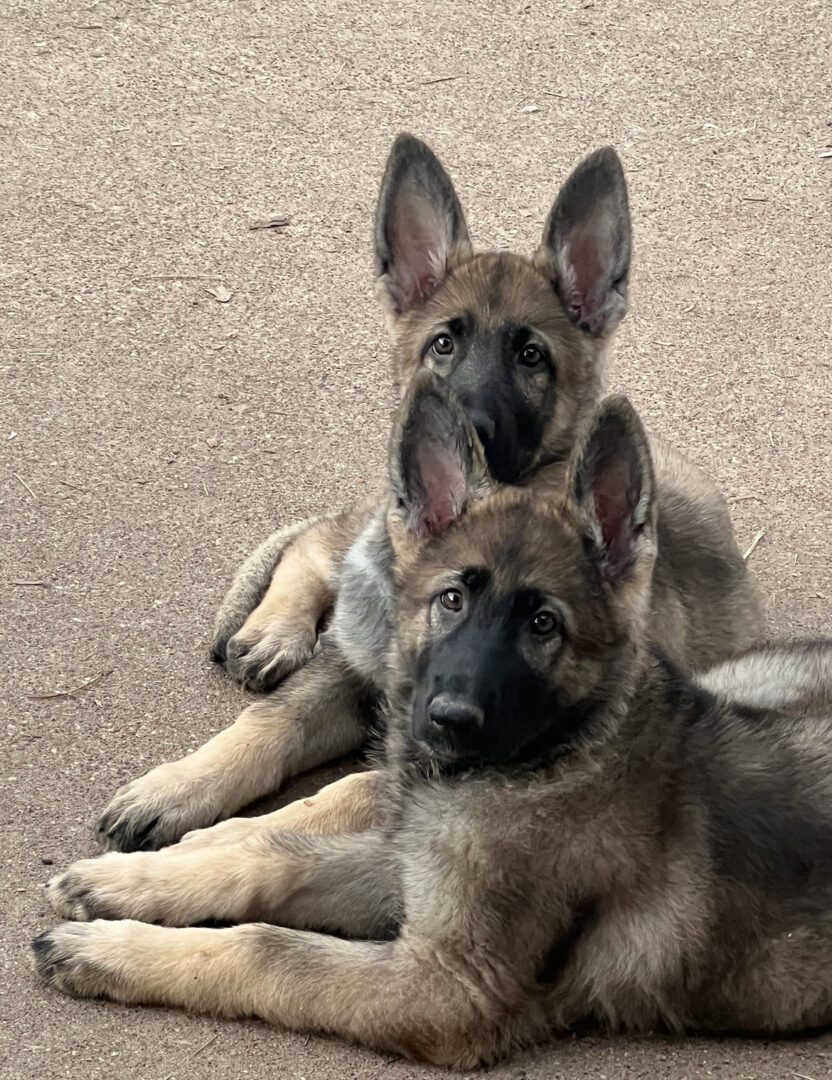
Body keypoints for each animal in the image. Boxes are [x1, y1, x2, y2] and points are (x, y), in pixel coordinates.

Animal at [35, 384, 829, 1067]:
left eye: (544, 624)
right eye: (451, 600)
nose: (441, 719)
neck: (555, 758)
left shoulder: (444, 985)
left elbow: (269, 945)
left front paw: (114, 943)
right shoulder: (412, 861)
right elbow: (271, 854)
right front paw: (131, 877)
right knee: (324, 547)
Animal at [92, 139, 760, 855]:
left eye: (531, 356)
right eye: (443, 344)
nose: (462, 425)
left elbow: (327, 799)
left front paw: (212, 845)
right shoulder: (353, 684)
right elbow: (269, 726)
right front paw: (177, 787)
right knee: (327, 536)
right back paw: (275, 627)